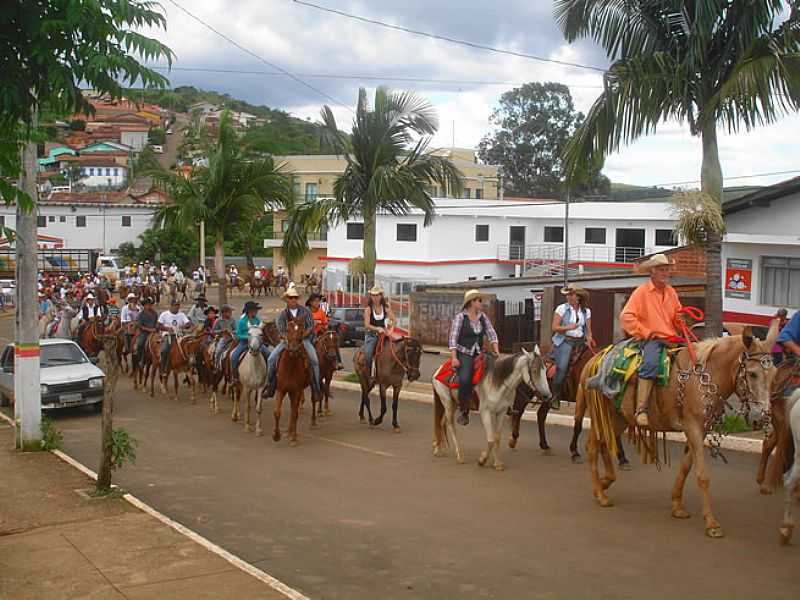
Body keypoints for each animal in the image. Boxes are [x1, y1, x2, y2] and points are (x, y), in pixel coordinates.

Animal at [580, 330, 780, 536]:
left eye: (774, 375)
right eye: (753, 374)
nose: (761, 418)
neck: (706, 376)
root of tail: (593, 361)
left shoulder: (700, 430)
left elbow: (685, 467)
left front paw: (677, 505)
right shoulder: (693, 427)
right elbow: (702, 476)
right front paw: (711, 523)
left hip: (620, 418)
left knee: (604, 443)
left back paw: (604, 483)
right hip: (605, 415)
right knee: (593, 447)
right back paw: (601, 494)